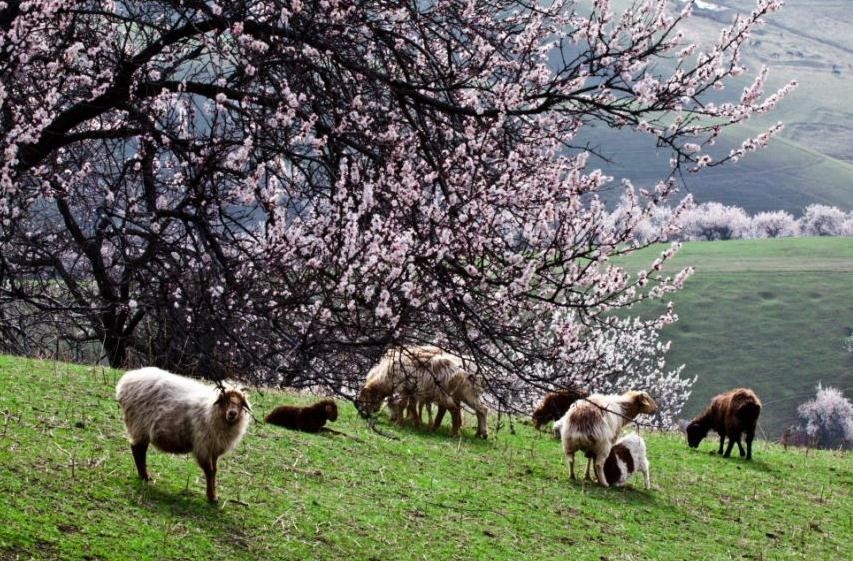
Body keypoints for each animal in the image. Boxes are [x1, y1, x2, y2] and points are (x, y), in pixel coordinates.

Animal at [115, 366, 250, 500]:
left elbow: (215, 470)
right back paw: (145, 476)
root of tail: (125, 382)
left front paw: (214, 495)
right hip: (139, 425)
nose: (232, 413)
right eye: (225, 401)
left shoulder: (214, 448)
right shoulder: (203, 446)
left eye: (240, 403)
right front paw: (211, 497)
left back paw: (144, 476)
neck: (211, 410)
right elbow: (209, 471)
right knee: (137, 449)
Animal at [352, 346, 486, 438]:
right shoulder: (412, 390)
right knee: (479, 409)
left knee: (454, 408)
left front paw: (400, 423)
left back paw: (454, 432)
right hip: (462, 391)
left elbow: (403, 404)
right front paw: (415, 422)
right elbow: (411, 406)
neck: (385, 377)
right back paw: (478, 433)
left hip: (444, 391)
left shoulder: (404, 387)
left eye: (365, 399)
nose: (363, 415)